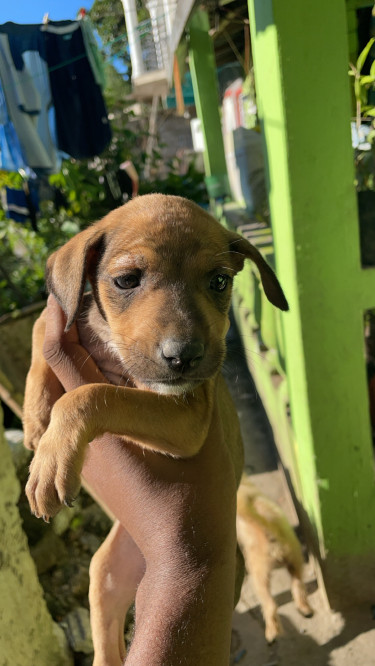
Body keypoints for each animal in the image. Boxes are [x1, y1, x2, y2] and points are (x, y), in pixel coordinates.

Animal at [22, 193, 290, 660]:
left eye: (220, 281)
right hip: (104, 576)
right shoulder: (69, 318)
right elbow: (44, 322)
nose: (184, 357)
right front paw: (36, 414)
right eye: (127, 280)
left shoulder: (186, 415)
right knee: (107, 645)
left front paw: (50, 458)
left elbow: (94, 394)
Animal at [238, 472, 314, 640]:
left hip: (259, 578)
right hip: (295, 561)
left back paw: (271, 633)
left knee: (270, 605)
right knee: (298, 586)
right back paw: (305, 609)